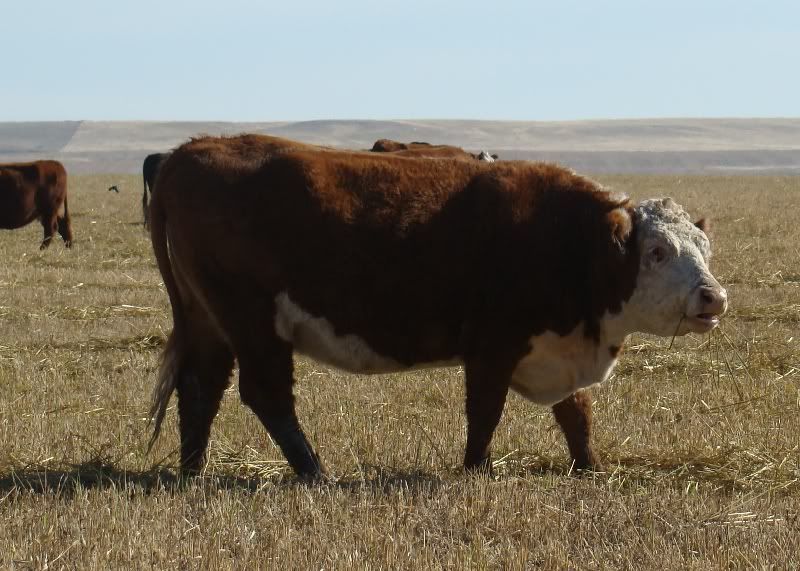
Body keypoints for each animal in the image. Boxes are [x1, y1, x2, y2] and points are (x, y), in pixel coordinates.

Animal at [148, 134, 727, 480]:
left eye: (704, 248)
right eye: (656, 251)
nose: (713, 296)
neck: (569, 239)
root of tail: (186, 151)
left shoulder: (559, 346)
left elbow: (575, 412)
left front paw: (590, 468)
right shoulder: (493, 345)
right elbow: (486, 410)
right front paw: (476, 470)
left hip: (210, 321)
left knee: (201, 387)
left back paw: (193, 471)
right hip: (251, 320)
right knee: (265, 393)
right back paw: (315, 472)